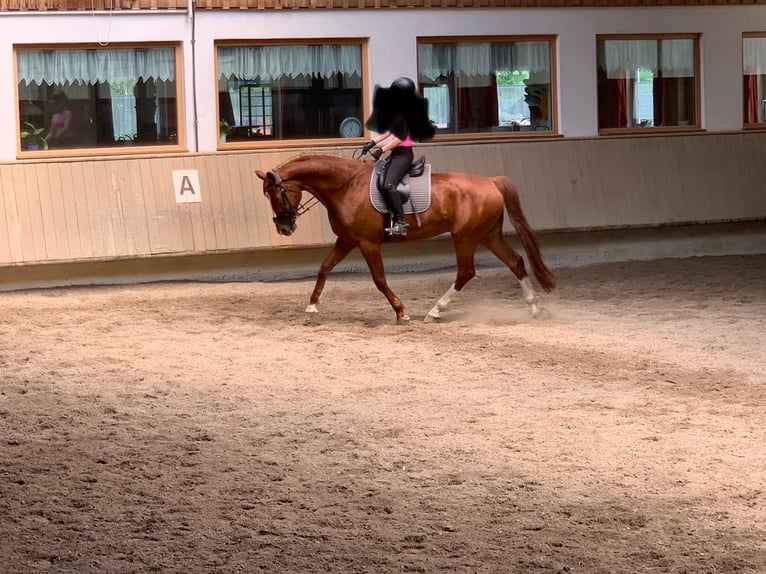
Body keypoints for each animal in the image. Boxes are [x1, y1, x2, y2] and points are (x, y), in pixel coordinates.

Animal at [255, 153, 556, 324]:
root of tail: (490, 181)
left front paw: (401, 312)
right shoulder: (347, 240)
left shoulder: (367, 243)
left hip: (465, 237)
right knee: (515, 262)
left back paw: (435, 311)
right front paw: (312, 307)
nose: (284, 229)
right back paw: (535, 309)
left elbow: (379, 280)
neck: (346, 186)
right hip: (487, 235)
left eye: (276, 193)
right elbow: (324, 268)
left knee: (466, 272)